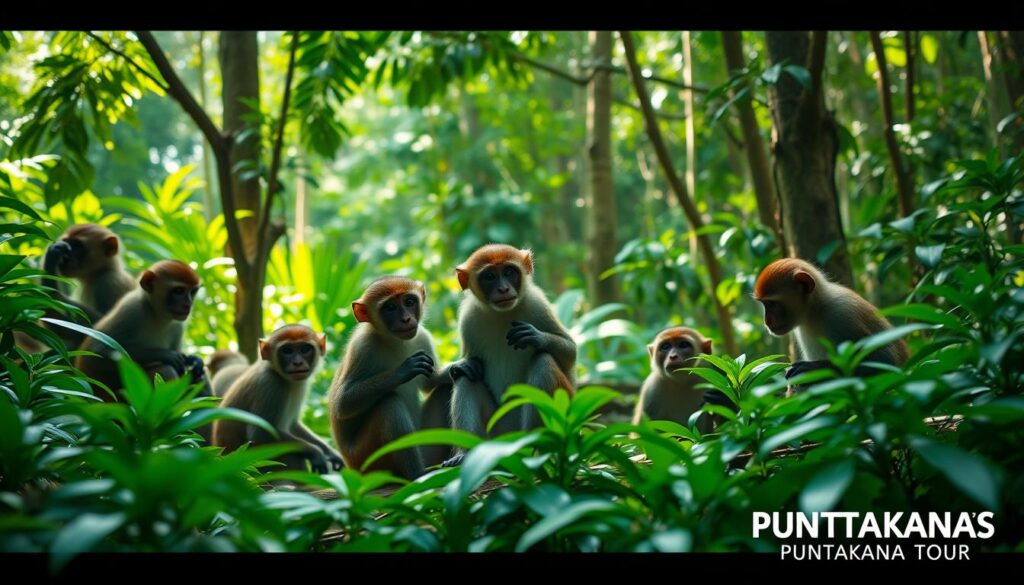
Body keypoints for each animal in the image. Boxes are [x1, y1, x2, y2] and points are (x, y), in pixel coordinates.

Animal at [75, 260, 207, 402]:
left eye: (193, 291)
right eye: (178, 291)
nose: (188, 305)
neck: (156, 314)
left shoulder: (178, 325)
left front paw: (194, 360)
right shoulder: (131, 309)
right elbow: (100, 351)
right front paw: (166, 355)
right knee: (165, 369)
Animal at [213, 325, 343, 473]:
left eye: (305, 349)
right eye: (287, 350)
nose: (298, 363)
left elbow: (293, 425)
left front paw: (330, 452)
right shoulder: (270, 384)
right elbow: (259, 434)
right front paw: (316, 453)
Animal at [328, 276, 454, 481]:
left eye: (409, 302)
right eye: (390, 307)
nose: (406, 319)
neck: (394, 341)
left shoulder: (422, 336)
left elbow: (430, 382)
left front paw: (460, 367)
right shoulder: (362, 347)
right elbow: (342, 404)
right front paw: (403, 370)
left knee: (444, 389)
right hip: (368, 459)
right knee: (389, 405)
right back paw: (417, 475)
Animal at [445, 244, 576, 467]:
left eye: (508, 272)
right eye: (490, 276)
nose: (503, 289)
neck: (502, 313)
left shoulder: (538, 305)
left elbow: (570, 352)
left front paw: (537, 338)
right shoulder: (467, 319)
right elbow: (469, 365)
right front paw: (460, 365)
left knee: (543, 362)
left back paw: (534, 446)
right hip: (497, 433)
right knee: (467, 379)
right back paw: (465, 454)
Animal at [753, 258, 909, 381]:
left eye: (772, 303)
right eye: (764, 304)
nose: (767, 321)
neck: (815, 311)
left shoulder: (841, 314)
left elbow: (886, 362)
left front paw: (814, 368)